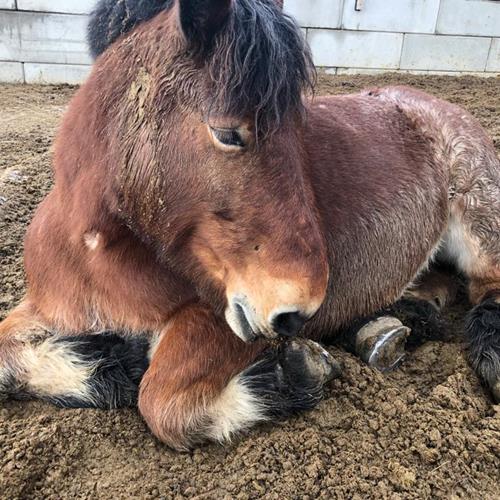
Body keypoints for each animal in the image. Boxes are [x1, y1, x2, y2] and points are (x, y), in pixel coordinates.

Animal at [0, 0, 498, 452]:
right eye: (227, 133)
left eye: (299, 132)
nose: (299, 313)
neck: (100, 258)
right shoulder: (50, 305)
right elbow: (6, 355)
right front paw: (114, 362)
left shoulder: (214, 319)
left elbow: (162, 404)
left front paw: (293, 374)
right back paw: (386, 326)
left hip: (480, 226)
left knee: (486, 286)